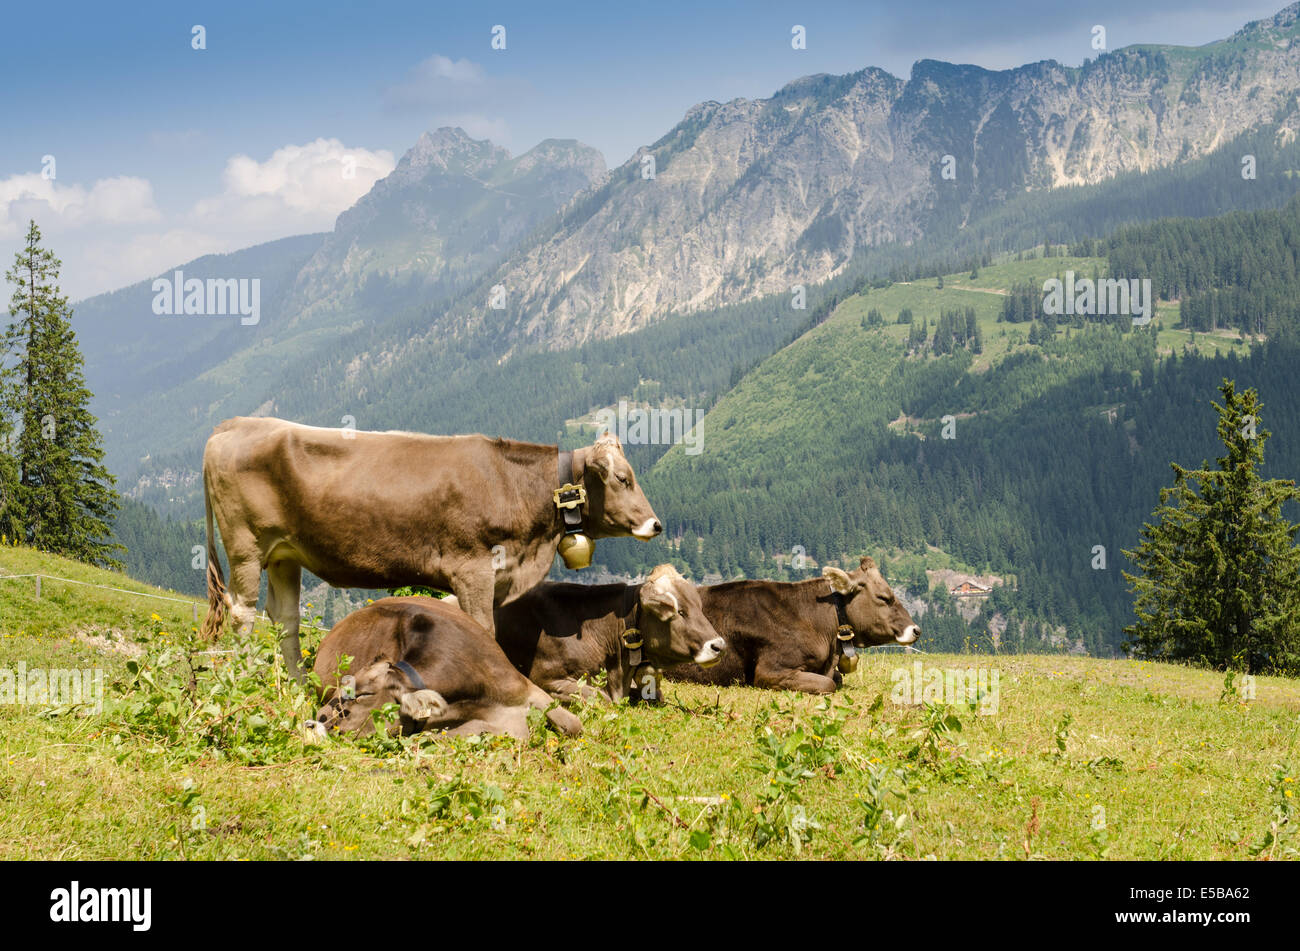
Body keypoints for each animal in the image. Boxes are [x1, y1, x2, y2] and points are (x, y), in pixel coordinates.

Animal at [201, 415, 660, 675]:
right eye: (623, 479)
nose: (655, 524)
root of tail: (234, 424)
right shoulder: (472, 568)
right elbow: (483, 629)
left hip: (284, 554)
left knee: (284, 618)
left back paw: (297, 684)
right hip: (246, 545)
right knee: (241, 611)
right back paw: (245, 678)